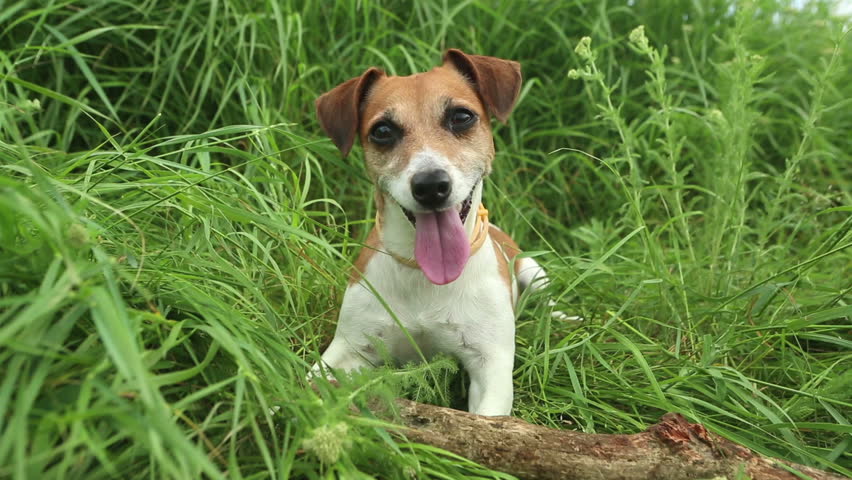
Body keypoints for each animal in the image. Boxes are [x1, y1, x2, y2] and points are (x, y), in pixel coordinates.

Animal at [310, 49, 564, 416]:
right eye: (383, 130)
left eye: (461, 117)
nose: (431, 185)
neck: (424, 275)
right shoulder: (348, 348)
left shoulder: (491, 364)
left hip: (532, 269)